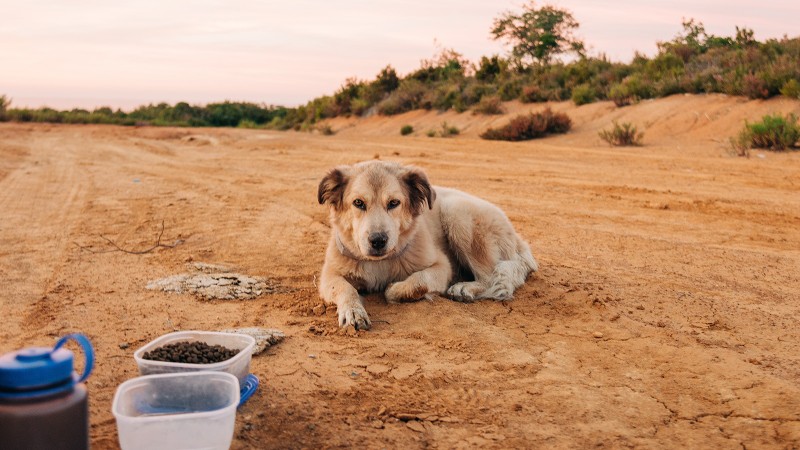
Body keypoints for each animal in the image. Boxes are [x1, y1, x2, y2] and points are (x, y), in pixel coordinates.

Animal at [318, 160, 536, 328]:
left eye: (394, 203)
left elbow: (412, 283)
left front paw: (394, 289)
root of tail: (519, 241)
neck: (380, 262)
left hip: (457, 213)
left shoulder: (442, 266)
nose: (378, 240)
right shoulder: (329, 274)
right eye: (358, 203)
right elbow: (345, 288)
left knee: (490, 278)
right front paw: (353, 311)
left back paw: (464, 288)